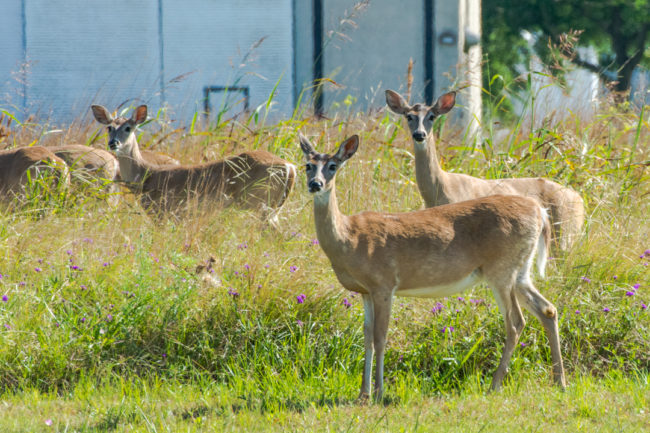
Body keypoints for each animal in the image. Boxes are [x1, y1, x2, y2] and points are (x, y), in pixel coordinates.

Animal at [90, 104, 294, 216]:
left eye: (128, 128)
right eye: (109, 127)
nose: (113, 143)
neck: (146, 175)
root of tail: (290, 166)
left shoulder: (167, 212)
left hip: (260, 201)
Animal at [298, 132, 560, 402]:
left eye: (333, 166)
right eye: (307, 165)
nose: (315, 184)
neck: (349, 239)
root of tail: (539, 211)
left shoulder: (384, 283)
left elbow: (381, 337)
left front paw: (379, 392)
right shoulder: (365, 291)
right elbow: (367, 337)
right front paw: (363, 394)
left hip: (502, 269)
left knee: (516, 322)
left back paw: (495, 385)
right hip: (520, 270)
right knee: (547, 309)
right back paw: (558, 381)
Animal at [384, 88, 584, 250]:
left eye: (432, 116)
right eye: (409, 116)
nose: (419, 134)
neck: (441, 190)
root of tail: (580, 199)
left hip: (566, 233)